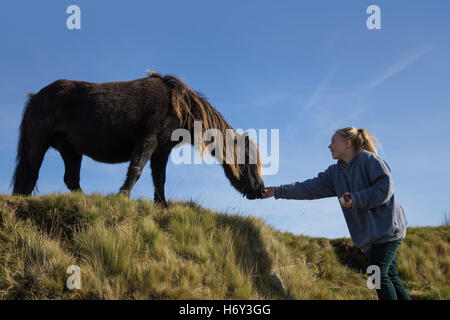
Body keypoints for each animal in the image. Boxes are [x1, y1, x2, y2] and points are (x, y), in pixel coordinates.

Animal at [10, 71, 266, 208]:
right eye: (248, 160)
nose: (260, 189)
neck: (178, 106)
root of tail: (35, 98)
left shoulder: (161, 151)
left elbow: (159, 179)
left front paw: (162, 205)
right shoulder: (147, 141)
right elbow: (136, 170)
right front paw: (122, 197)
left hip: (71, 151)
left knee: (70, 179)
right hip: (38, 145)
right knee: (29, 175)